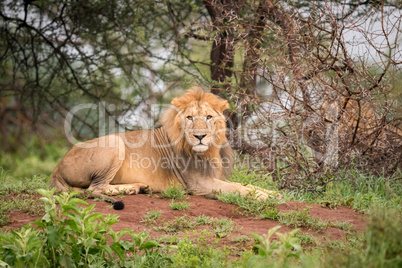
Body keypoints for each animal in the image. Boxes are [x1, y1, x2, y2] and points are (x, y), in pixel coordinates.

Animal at [51, 88, 274, 209]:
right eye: (189, 117)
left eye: (209, 117)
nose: (199, 136)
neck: (208, 151)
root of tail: (55, 170)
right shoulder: (198, 183)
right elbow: (237, 188)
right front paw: (263, 197)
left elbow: (246, 185)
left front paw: (271, 193)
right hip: (115, 143)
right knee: (94, 189)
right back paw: (131, 188)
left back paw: (138, 187)